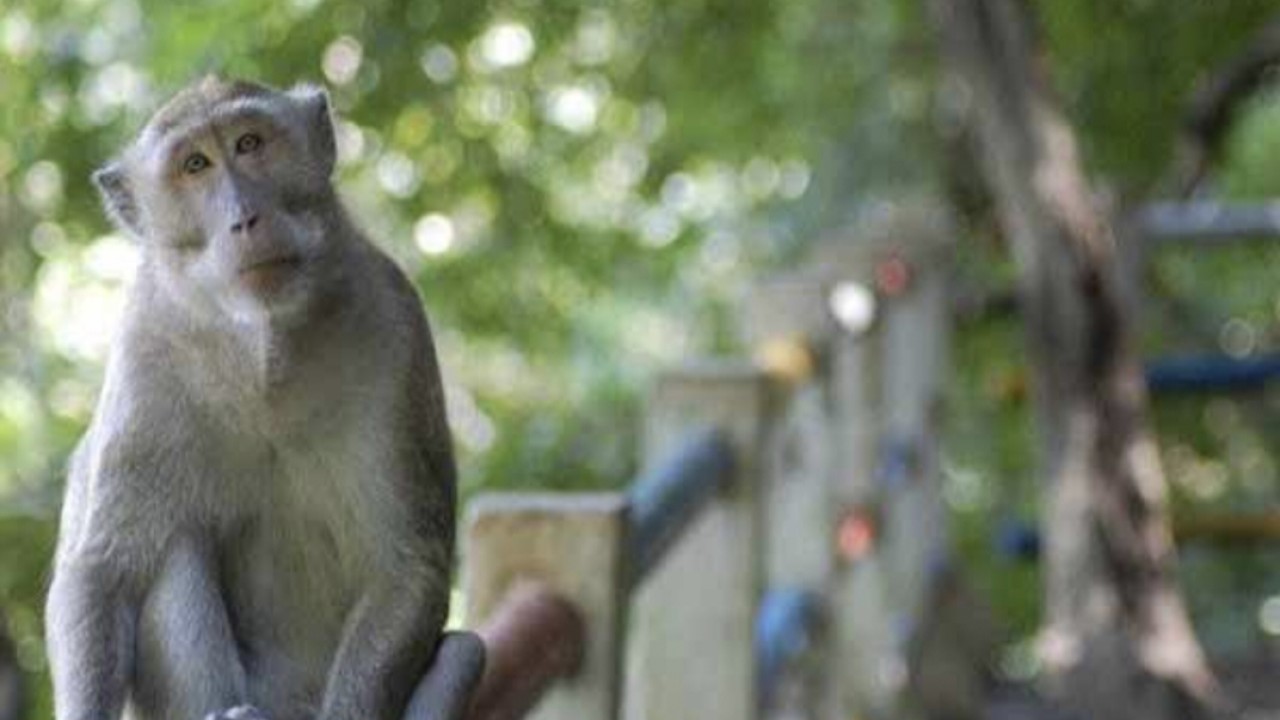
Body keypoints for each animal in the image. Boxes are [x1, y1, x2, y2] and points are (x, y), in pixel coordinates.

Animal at [46, 74, 483, 717]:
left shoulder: (394, 319)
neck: (264, 349)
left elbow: (404, 570)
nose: (245, 217)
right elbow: (103, 572)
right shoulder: (146, 347)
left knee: (465, 652)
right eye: (195, 165)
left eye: (249, 143)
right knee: (171, 547)